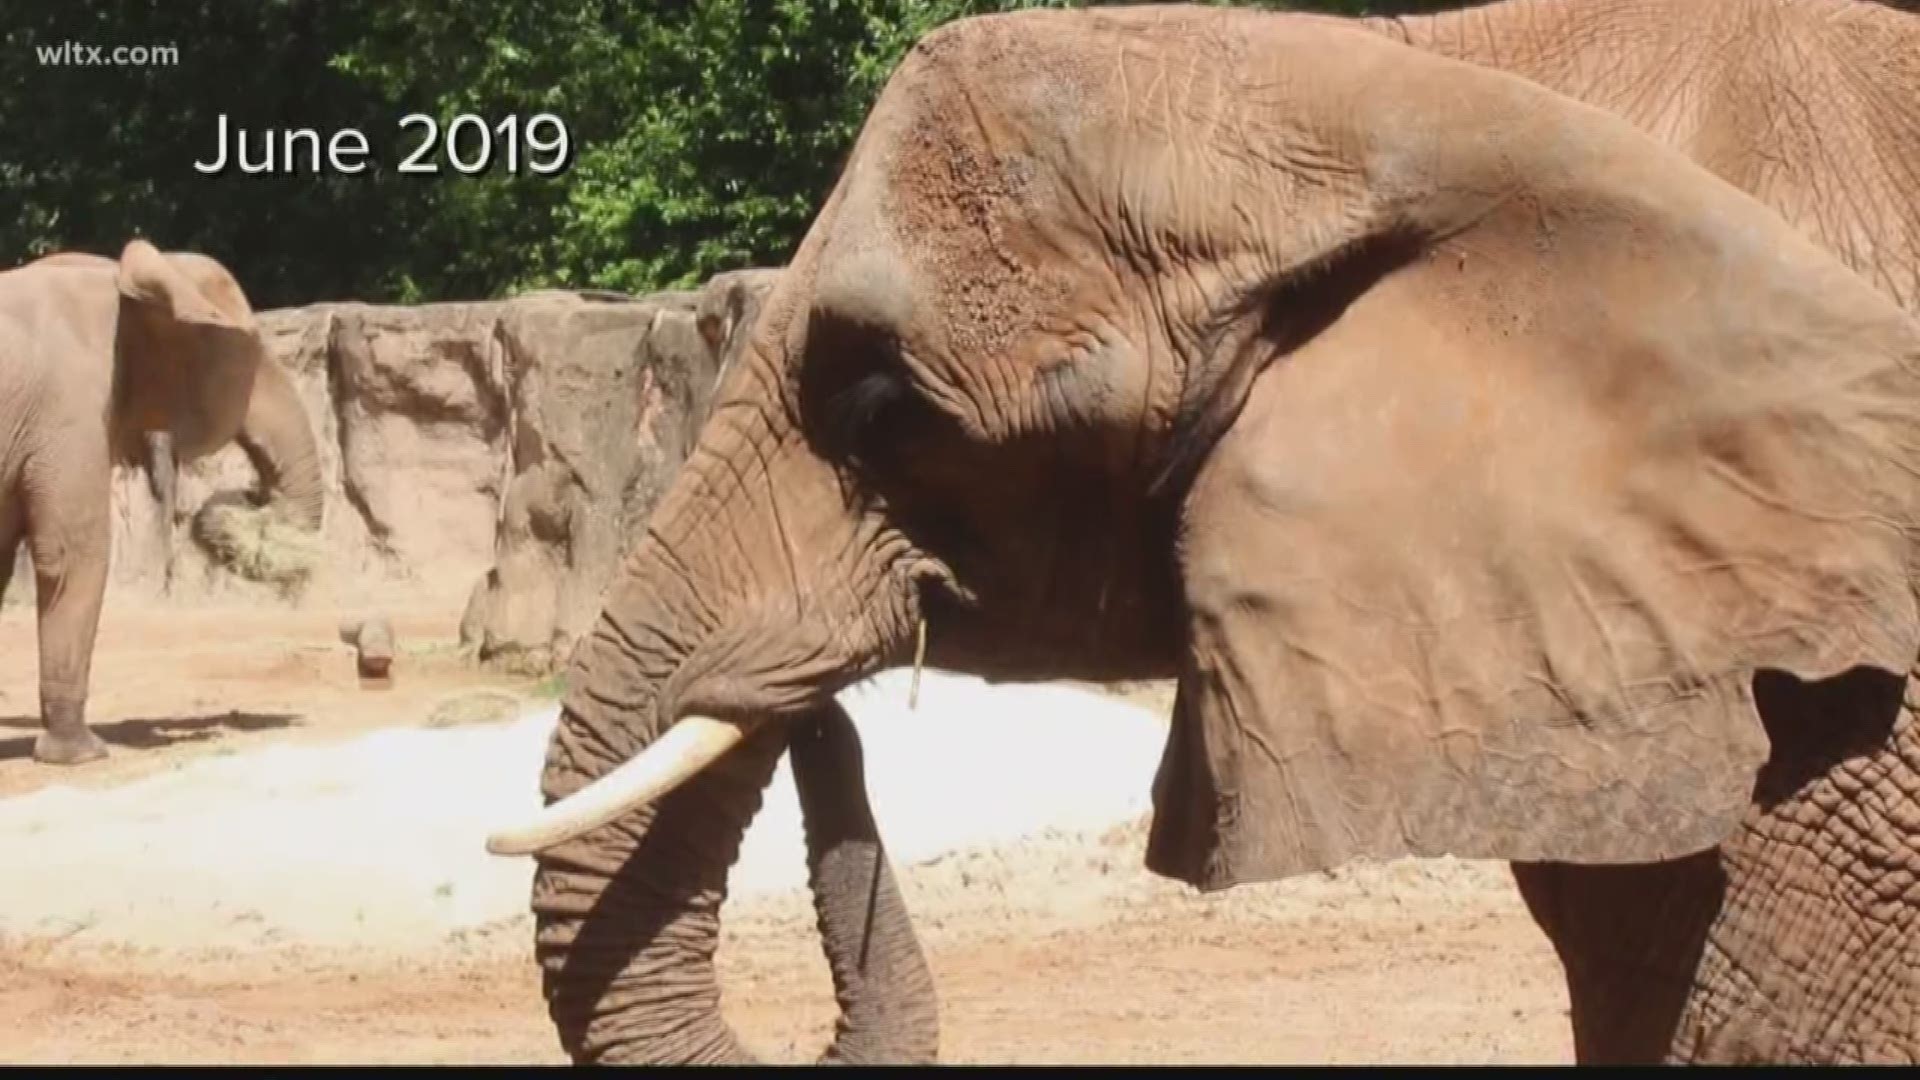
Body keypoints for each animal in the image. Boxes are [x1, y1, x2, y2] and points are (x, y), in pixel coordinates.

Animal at [0, 242, 322, 764]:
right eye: (252, 354)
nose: (251, 493)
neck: (117, 274)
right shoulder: (67, 414)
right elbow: (72, 554)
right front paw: (83, 755)